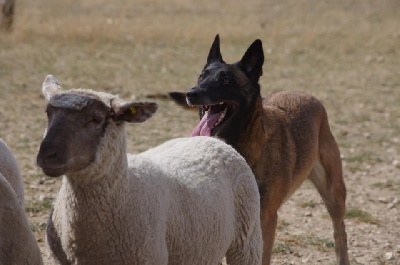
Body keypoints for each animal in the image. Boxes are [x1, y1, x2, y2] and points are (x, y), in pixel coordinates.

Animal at [170, 35, 350, 264]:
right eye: (202, 76)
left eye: (226, 80)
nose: (191, 93)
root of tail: (307, 96)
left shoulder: (265, 219)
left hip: (333, 192)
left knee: (340, 230)